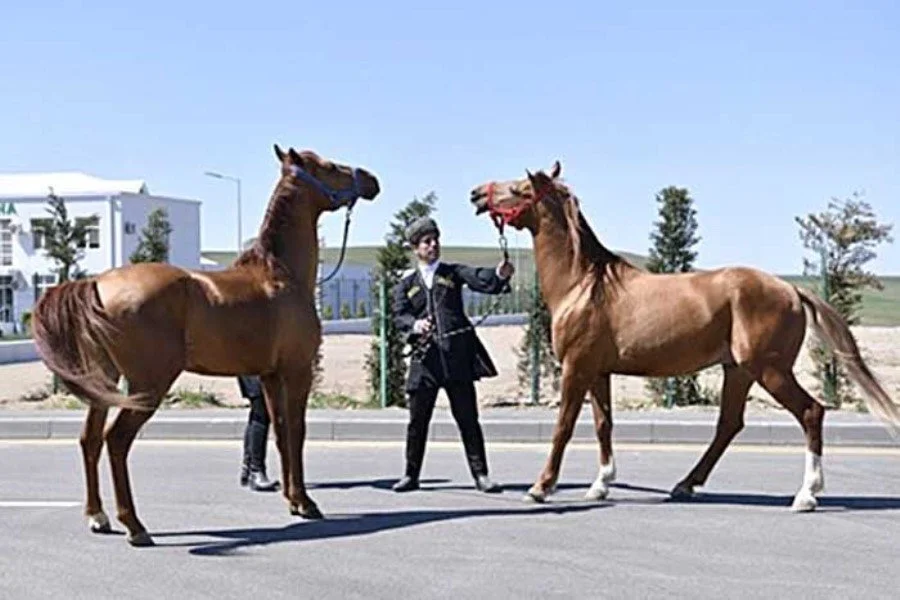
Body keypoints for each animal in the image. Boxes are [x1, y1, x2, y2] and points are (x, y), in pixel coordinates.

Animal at [31, 145, 380, 544]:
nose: (371, 180)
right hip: (148, 385)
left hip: (105, 380)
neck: (280, 274)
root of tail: (97, 284)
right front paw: (306, 503)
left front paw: (293, 500)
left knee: (89, 439)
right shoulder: (297, 371)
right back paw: (134, 525)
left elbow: (279, 433)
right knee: (116, 441)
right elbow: (297, 431)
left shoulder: (270, 376)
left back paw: (97, 516)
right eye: (330, 166)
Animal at [472, 163, 900, 510]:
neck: (583, 284)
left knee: (810, 412)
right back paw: (685, 485)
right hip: (738, 371)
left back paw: (807, 495)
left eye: (518, 189)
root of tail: (791, 290)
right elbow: (603, 425)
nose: (475, 193)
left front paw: (541, 487)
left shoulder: (576, 368)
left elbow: (563, 427)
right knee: (729, 424)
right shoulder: (599, 372)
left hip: (769, 370)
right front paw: (600, 485)